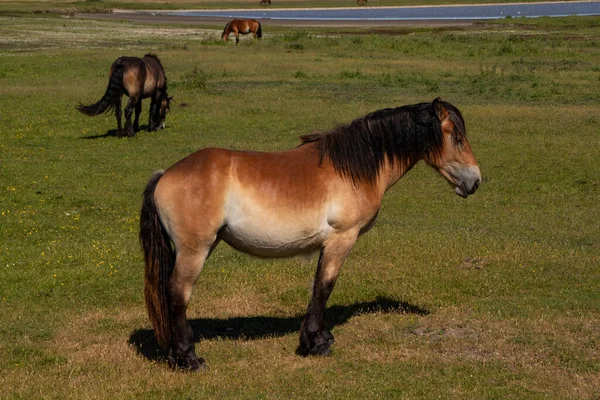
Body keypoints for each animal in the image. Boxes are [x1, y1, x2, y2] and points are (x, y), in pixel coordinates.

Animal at [139, 98, 482, 370]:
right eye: (457, 136)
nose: (475, 181)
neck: (354, 168)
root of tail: (165, 175)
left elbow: (318, 284)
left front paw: (316, 337)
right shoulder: (342, 238)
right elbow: (324, 286)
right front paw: (316, 343)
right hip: (194, 251)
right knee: (177, 295)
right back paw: (188, 358)